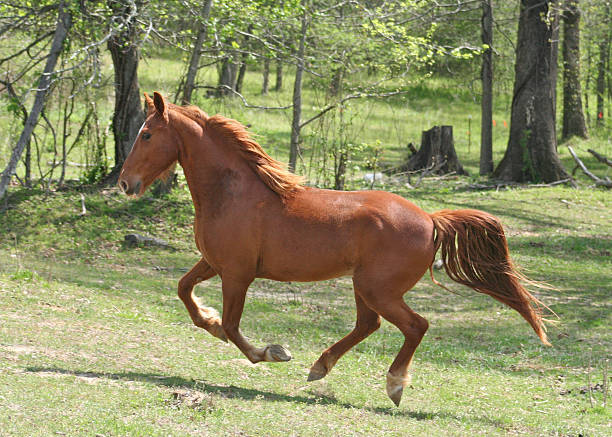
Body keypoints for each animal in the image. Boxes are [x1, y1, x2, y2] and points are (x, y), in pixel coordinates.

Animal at [118, 91, 548, 406]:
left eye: (146, 135)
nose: (125, 183)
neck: (233, 193)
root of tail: (430, 220)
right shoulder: (214, 262)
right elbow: (185, 292)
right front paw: (209, 322)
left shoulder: (237, 274)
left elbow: (233, 325)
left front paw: (272, 352)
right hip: (364, 286)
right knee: (368, 325)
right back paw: (319, 368)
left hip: (379, 289)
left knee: (415, 326)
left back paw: (393, 385)